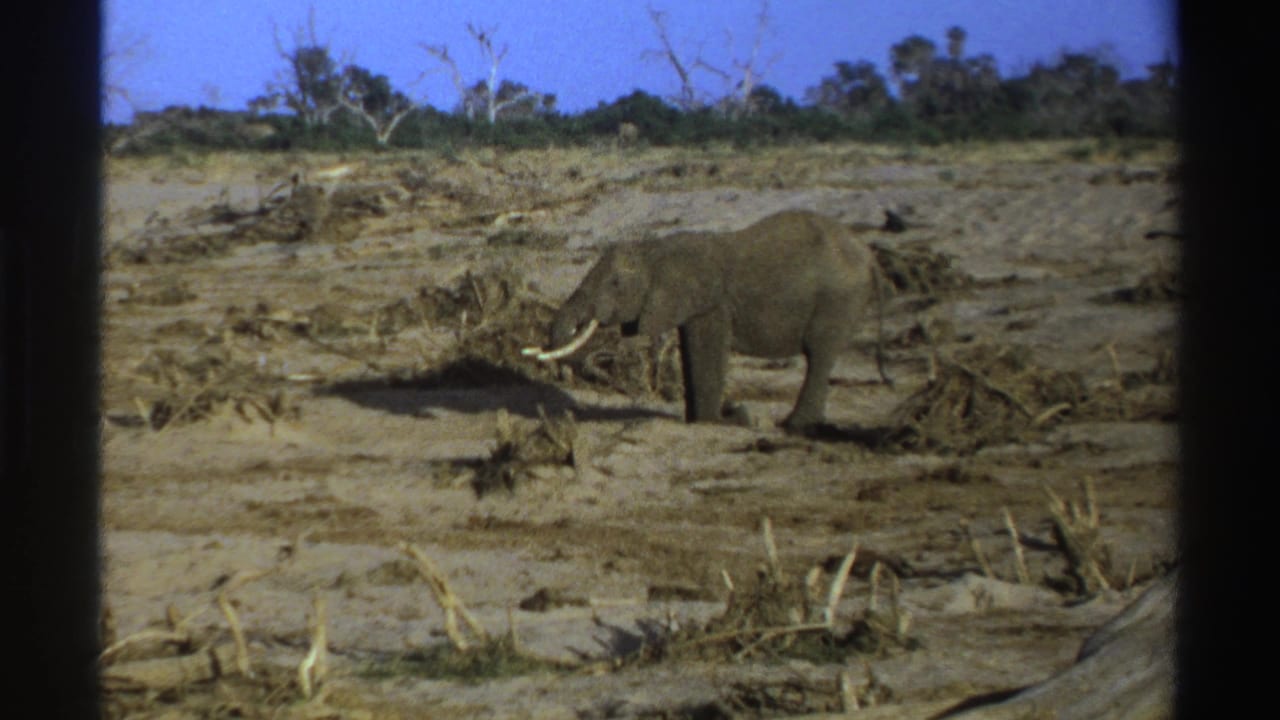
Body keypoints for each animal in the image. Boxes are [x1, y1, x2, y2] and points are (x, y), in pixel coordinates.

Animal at [523, 209, 890, 433]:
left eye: (615, 284)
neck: (655, 248)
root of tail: (870, 257)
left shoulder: (711, 303)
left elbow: (706, 350)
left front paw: (715, 422)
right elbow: (690, 350)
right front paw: (700, 420)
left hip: (838, 299)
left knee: (819, 354)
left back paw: (792, 426)